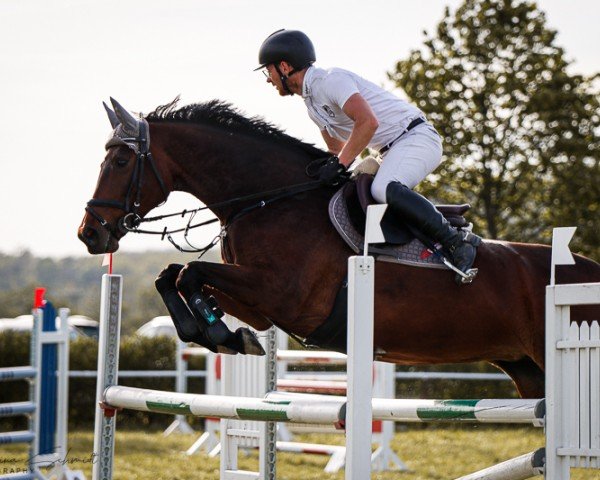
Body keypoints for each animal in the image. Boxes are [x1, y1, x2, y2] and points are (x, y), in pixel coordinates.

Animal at [78, 96, 600, 398]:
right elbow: (172, 276)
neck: (269, 200)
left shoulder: (284, 295)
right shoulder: (264, 306)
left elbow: (189, 273)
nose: (90, 234)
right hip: (527, 368)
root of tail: (585, 269)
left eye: (121, 161)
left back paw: (462, 254)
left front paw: (219, 332)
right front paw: (221, 333)